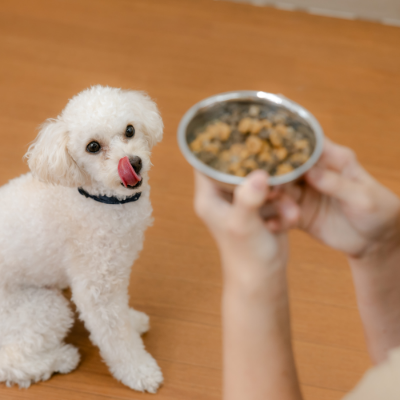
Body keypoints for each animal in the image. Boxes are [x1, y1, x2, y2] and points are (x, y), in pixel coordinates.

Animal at [0, 85, 164, 394]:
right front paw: (139, 371)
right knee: (10, 359)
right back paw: (62, 358)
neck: (98, 199)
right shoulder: (97, 287)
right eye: (93, 147)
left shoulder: (115, 274)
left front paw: (133, 321)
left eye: (130, 130)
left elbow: (121, 317)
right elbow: (116, 337)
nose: (134, 163)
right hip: (41, 308)